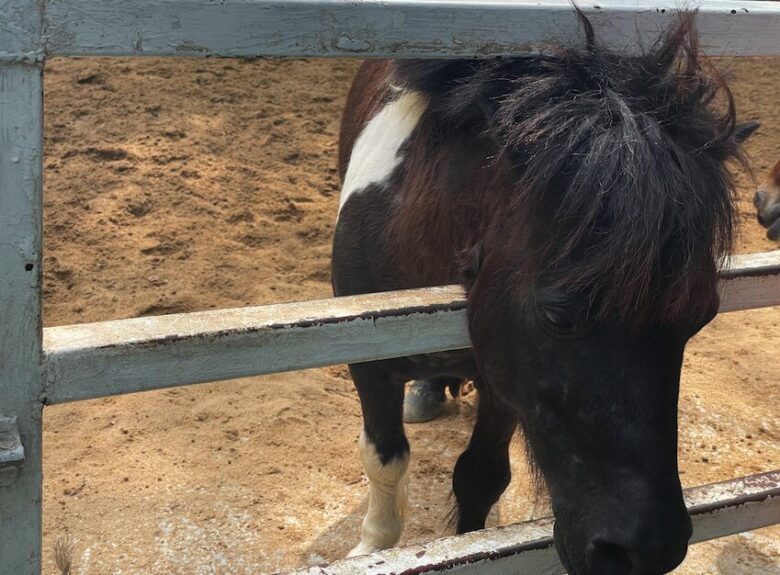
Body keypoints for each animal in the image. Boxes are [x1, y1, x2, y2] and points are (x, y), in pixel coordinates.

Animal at [332, 14, 752, 575]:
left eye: (700, 318)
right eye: (558, 316)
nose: (647, 549)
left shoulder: (503, 378)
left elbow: (480, 477)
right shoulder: (367, 363)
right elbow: (384, 458)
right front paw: (374, 546)